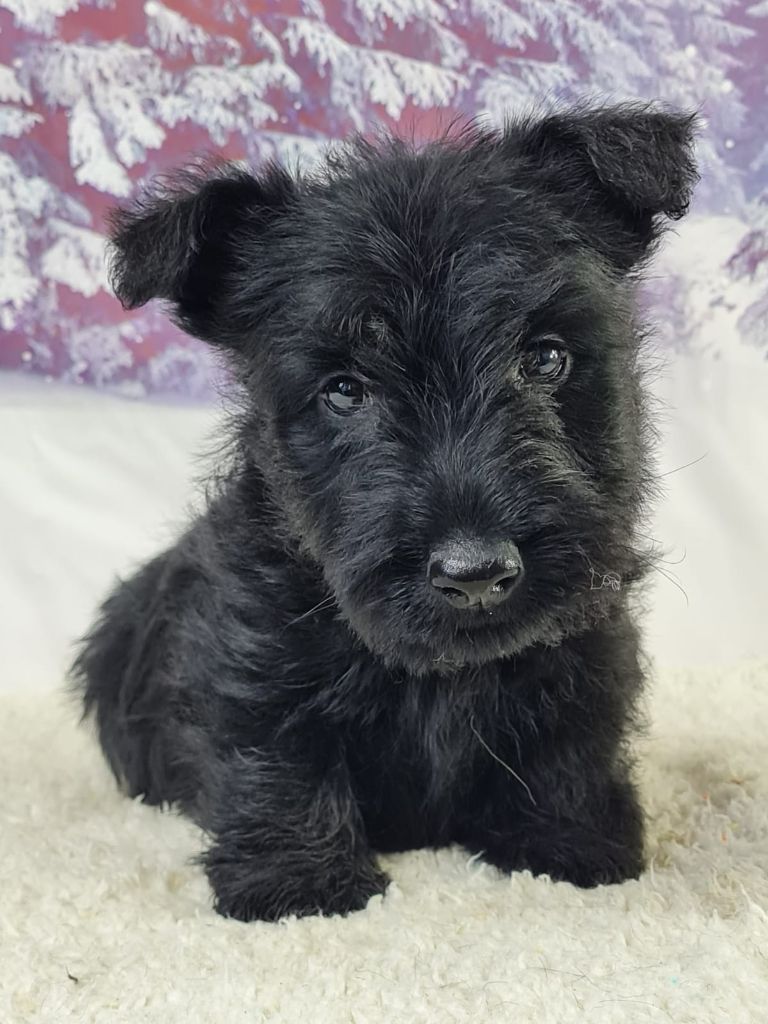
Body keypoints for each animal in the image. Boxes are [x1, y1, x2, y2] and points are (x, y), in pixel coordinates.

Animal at [72, 103, 698, 922]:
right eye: (344, 389)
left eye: (545, 358)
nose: (474, 573)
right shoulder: (255, 649)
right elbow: (274, 746)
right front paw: (300, 880)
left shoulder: (586, 641)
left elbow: (568, 741)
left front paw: (570, 844)